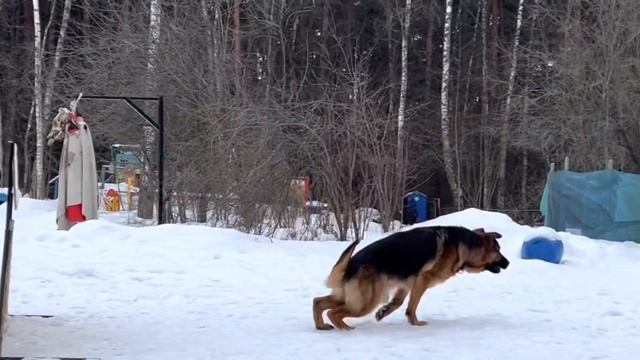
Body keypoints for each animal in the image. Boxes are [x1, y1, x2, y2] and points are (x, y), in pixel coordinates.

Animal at [312, 226, 508, 330]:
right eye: (498, 251)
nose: (508, 263)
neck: (468, 245)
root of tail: (352, 263)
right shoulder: (422, 280)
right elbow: (412, 305)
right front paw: (415, 322)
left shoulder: (405, 284)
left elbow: (398, 302)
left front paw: (384, 311)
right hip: (366, 302)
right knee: (333, 312)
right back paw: (345, 328)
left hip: (351, 297)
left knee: (318, 301)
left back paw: (321, 326)